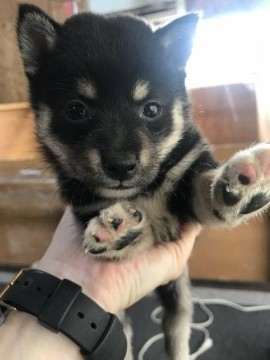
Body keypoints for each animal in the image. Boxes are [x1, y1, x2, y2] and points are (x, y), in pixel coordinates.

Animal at [16, 4, 270, 358]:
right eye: (76, 110)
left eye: (151, 109)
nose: (121, 166)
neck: (145, 190)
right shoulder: (88, 207)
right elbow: (138, 235)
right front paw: (116, 228)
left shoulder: (187, 188)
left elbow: (205, 189)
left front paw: (242, 185)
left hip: (179, 298)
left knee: (176, 329)